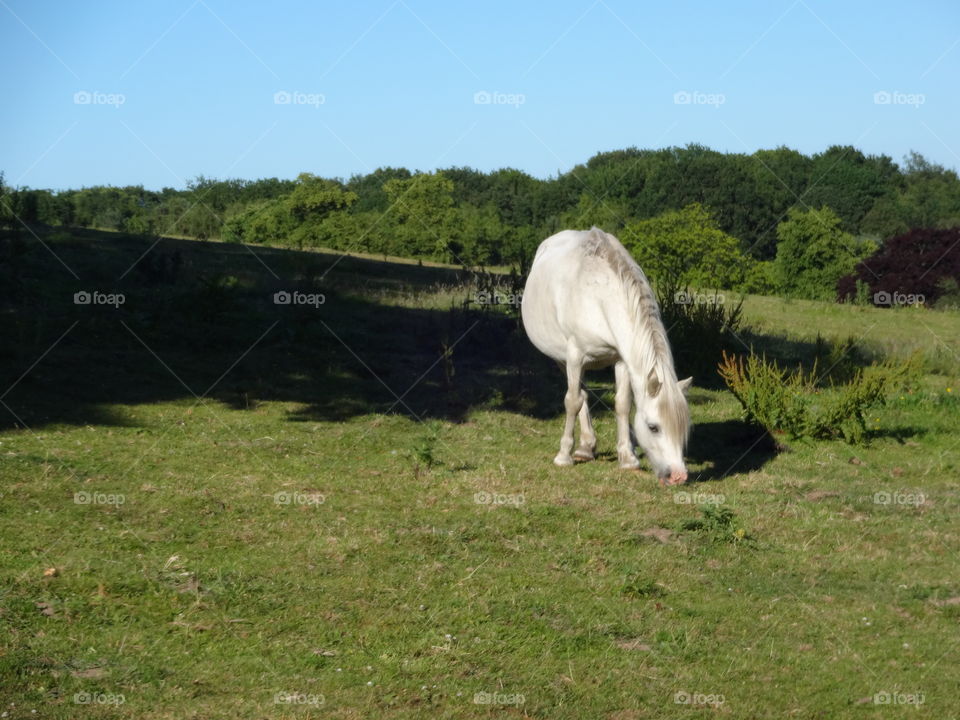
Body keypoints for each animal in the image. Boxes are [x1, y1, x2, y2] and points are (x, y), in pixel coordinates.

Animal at [524, 228, 688, 486]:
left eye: (683, 428)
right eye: (653, 427)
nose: (678, 476)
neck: (598, 296)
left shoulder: (621, 359)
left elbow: (622, 404)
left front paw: (628, 458)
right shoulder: (575, 355)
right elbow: (572, 401)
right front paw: (563, 455)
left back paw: (587, 446)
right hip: (562, 359)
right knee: (578, 395)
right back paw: (582, 448)